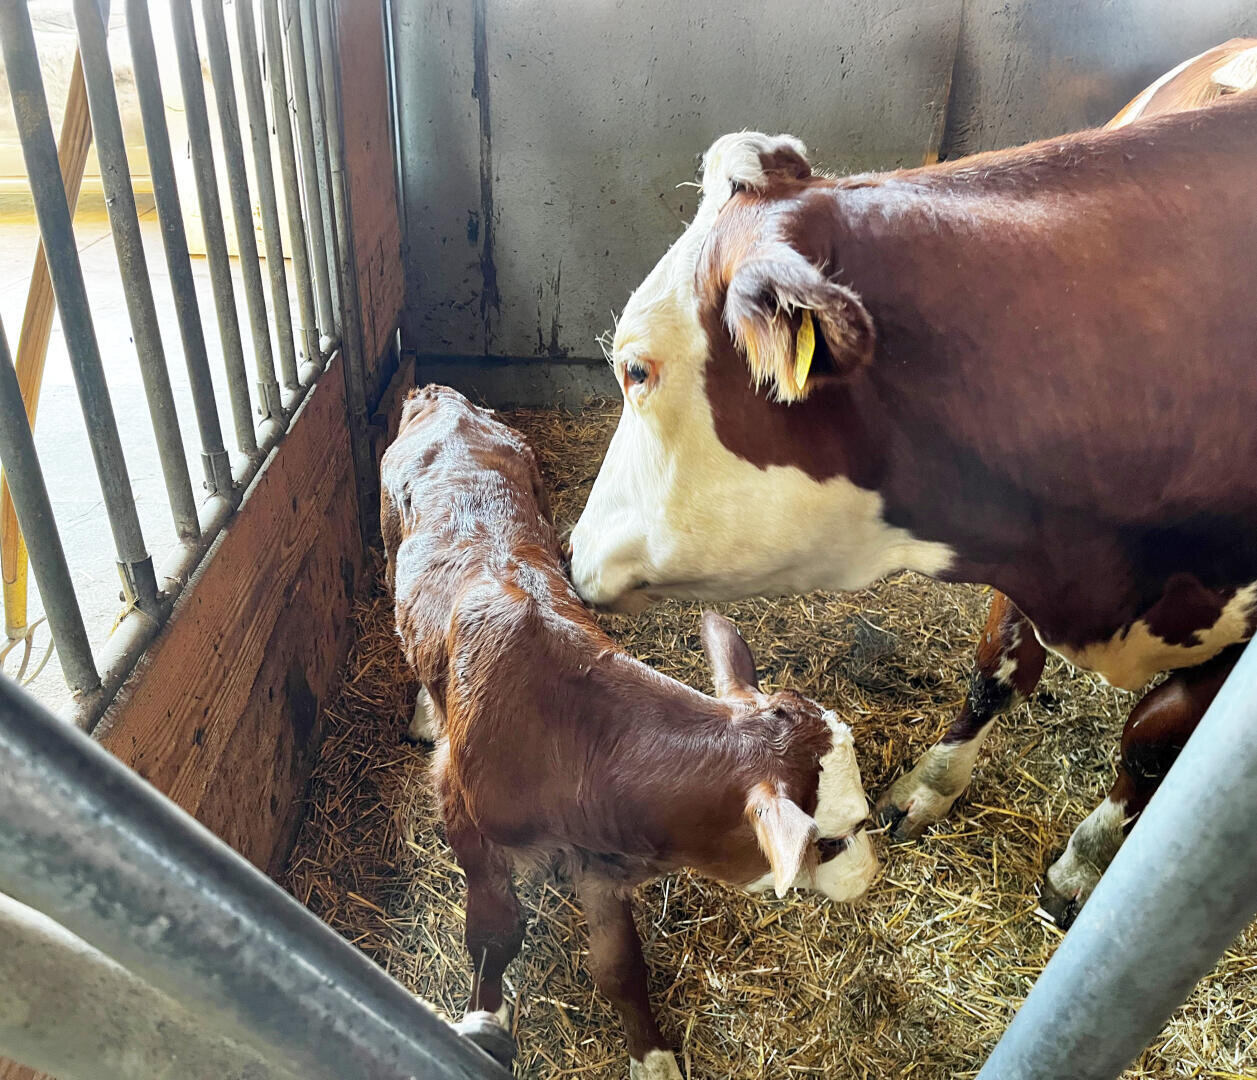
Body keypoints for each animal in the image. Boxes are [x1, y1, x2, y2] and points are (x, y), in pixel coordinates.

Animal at [381, 385, 877, 1079]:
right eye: (827, 840)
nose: (870, 877)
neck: (568, 739)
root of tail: (444, 397)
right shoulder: (468, 821)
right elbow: (495, 933)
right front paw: (485, 1022)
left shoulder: (599, 862)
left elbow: (620, 968)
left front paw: (652, 1055)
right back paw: (428, 715)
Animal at [568, 89, 1257, 929]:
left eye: (635, 370)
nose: (569, 552)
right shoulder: (1014, 530)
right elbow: (992, 671)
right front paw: (929, 786)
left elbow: (1153, 743)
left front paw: (1084, 865)